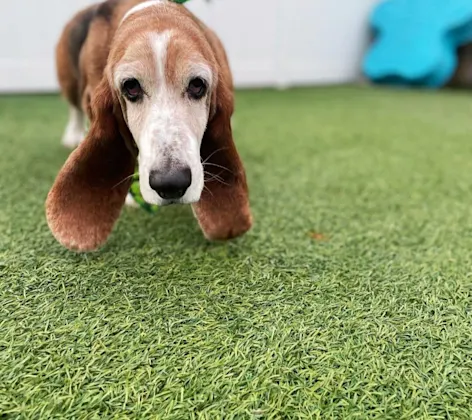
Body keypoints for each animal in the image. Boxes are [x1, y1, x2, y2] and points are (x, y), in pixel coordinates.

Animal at [48, 0, 253, 251]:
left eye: (197, 85)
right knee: (74, 107)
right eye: (131, 86)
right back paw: (72, 134)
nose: (171, 183)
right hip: (69, 81)